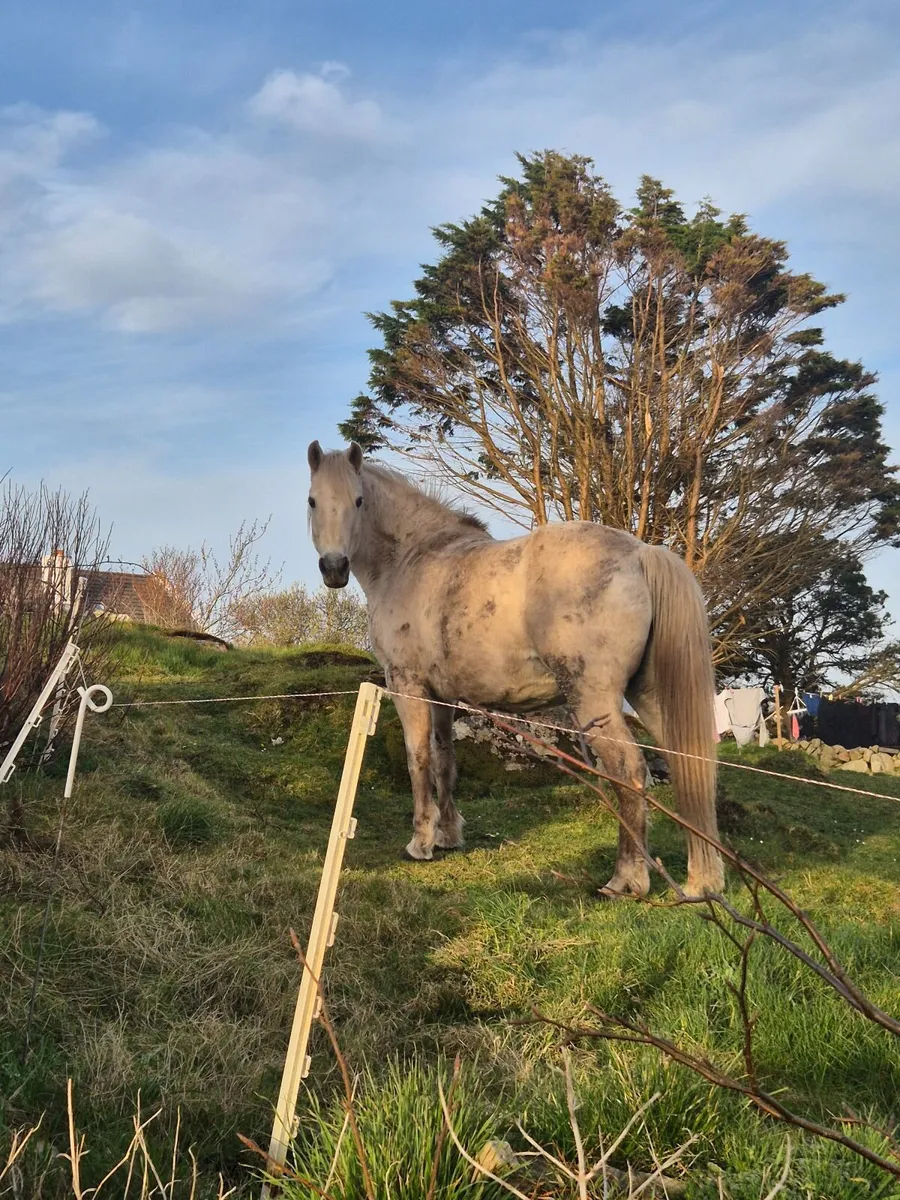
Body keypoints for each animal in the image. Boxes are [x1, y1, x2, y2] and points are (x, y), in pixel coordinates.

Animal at [306, 440, 724, 898]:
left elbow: (418, 757)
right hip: (649, 695)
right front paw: (449, 835)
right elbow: (445, 758)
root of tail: (640, 553)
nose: (334, 568)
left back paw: (626, 879)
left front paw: (421, 841)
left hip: (595, 702)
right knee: (690, 765)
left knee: (629, 771)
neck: (411, 560)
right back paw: (702, 881)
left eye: (358, 501)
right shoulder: (443, 696)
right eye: (313, 500)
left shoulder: (406, 684)